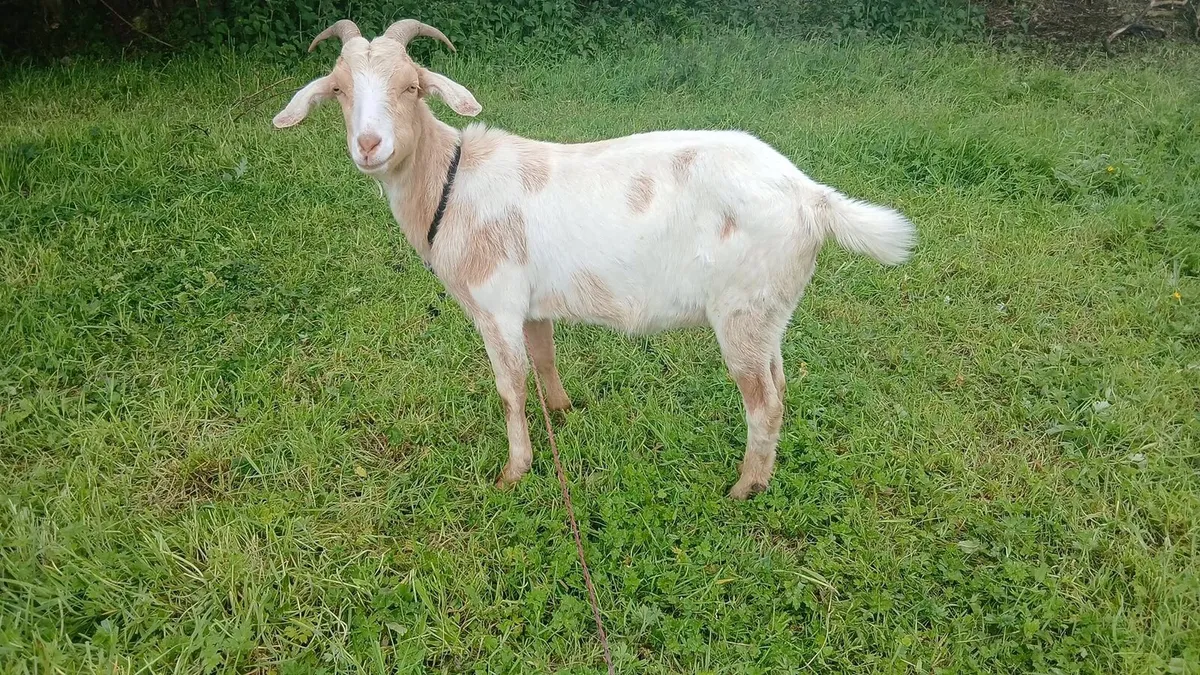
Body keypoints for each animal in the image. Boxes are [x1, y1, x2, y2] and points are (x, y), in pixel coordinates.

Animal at [273, 19, 916, 498]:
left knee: (764, 403)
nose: (370, 145)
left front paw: (514, 471)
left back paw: (743, 490)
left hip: (741, 310)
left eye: (411, 86)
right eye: (338, 90)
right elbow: (544, 361)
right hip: (768, 309)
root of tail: (811, 197)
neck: (452, 183)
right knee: (780, 384)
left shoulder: (495, 305)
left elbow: (510, 386)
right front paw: (563, 415)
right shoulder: (532, 306)